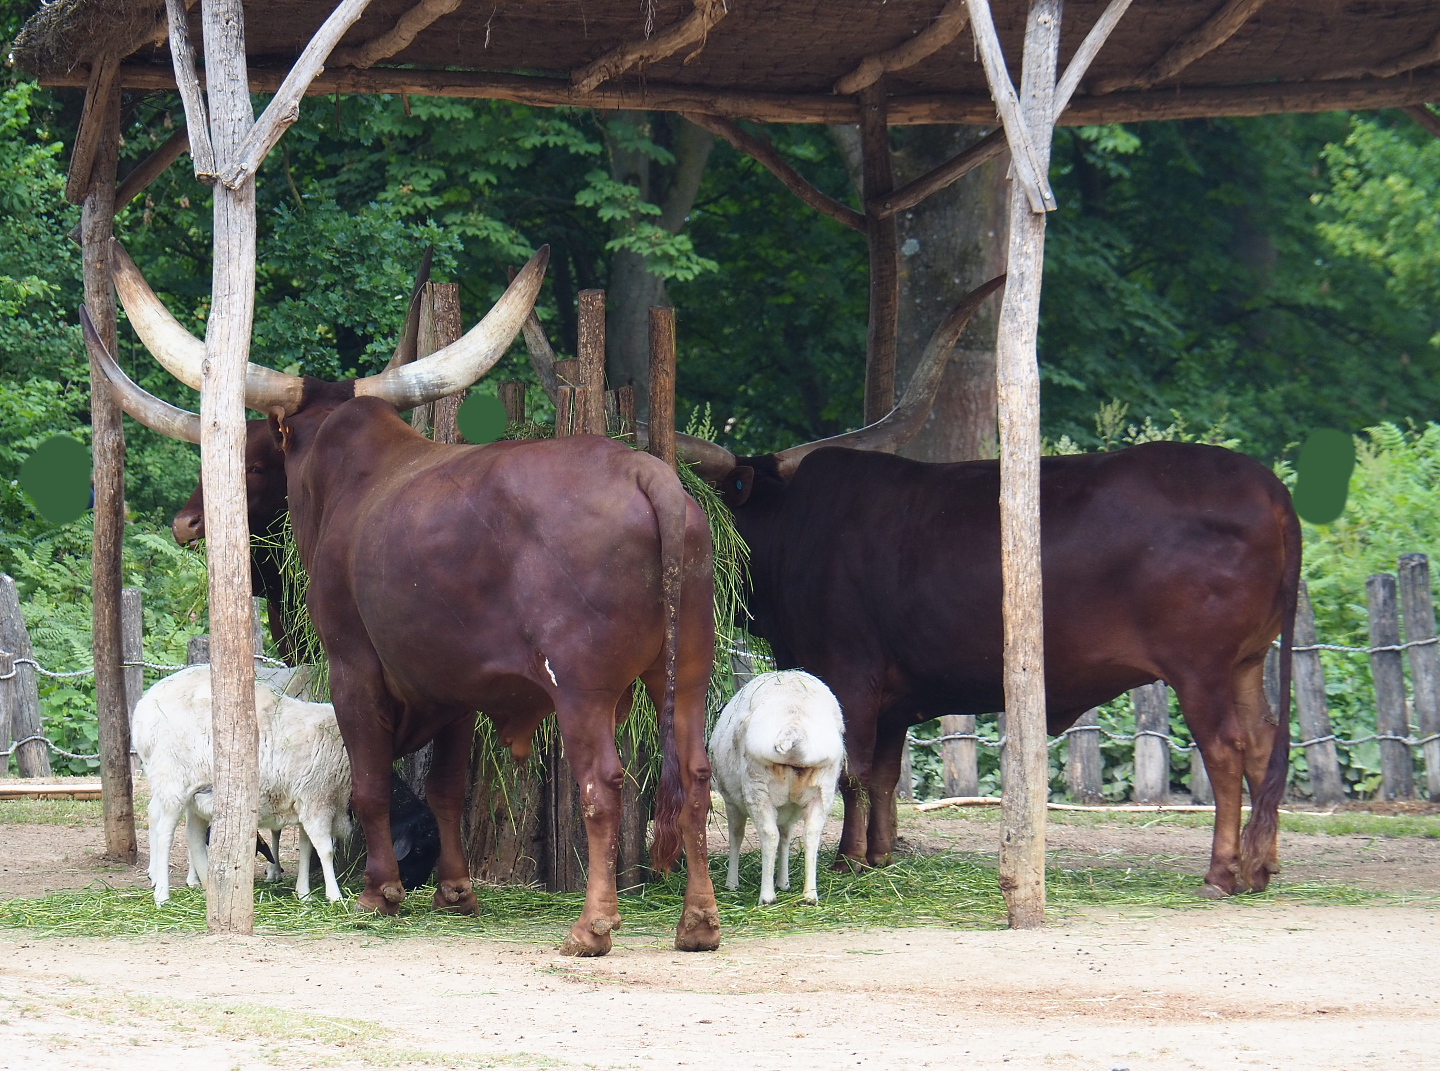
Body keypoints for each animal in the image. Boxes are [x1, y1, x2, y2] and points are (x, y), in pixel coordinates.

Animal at [132, 664, 352, 906]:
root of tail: (143, 708)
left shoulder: (308, 797)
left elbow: (306, 848)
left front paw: (304, 893)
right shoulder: (318, 799)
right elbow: (325, 850)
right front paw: (335, 896)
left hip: (195, 792)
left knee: (191, 835)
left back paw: (207, 884)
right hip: (173, 781)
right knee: (164, 832)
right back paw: (162, 894)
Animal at [709, 670, 845, 905]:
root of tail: (793, 727)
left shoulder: (731, 802)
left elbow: (736, 836)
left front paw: (731, 883)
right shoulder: (789, 811)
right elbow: (786, 838)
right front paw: (784, 882)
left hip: (757, 786)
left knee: (768, 835)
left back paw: (767, 896)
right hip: (823, 788)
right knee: (811, 834)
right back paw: (810, 895)